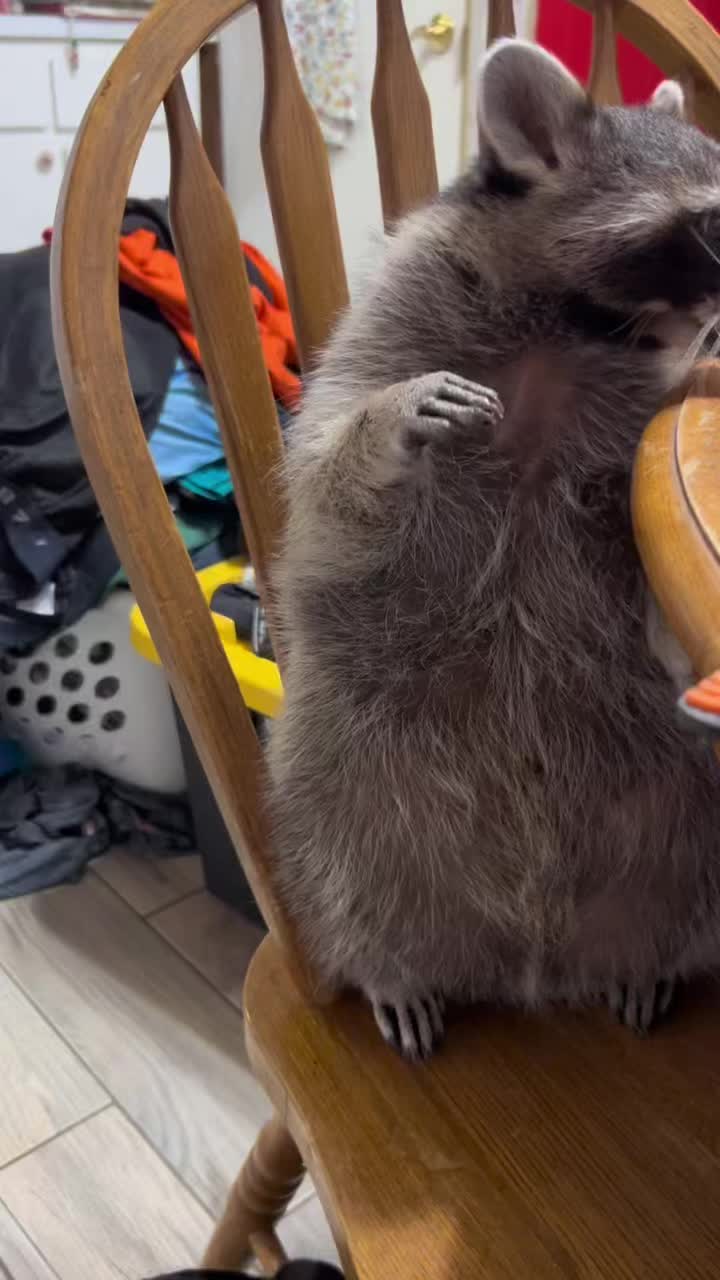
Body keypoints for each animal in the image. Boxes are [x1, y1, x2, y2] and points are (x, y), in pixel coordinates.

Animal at [267, 39, 720, 1059]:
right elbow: (323, 481)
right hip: (342, 776)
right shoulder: (395, 321)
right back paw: (390, 965)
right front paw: (382, 431)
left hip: (678, 807)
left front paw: (670, 627)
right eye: (715, 219)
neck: (572, 327)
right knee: (336, 848)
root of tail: (530, 960)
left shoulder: (641, 421)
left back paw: (652, 954)